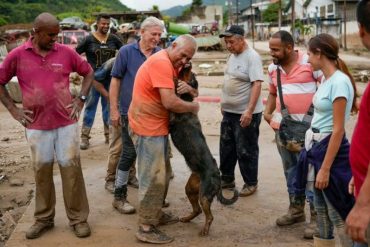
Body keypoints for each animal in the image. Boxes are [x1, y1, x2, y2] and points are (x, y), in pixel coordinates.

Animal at [169, 63, 238, 235]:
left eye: (192, 75)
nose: (188, 63)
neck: (186, 98)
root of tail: (217, 175)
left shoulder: (172, 115)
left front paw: (174, 80)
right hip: (191, 189)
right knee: (197, 210)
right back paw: (186, 219)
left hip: (205, 196)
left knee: (209, 215)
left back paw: (205, 230)